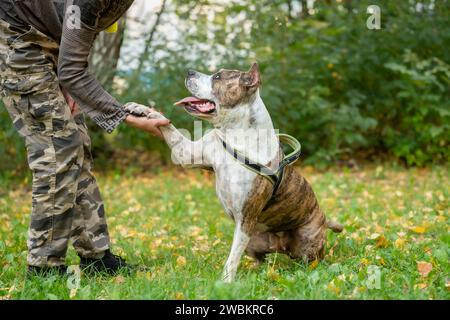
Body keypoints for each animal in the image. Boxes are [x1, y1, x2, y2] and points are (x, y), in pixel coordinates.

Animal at [125, 63, 342, 282]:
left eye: (218, 77)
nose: (189, 71)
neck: (234, 132)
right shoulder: (186, 153)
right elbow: (168, 126)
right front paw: (141, 109)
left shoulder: (245, 217)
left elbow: (232, 258)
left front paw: (225, 283)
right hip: (253, 241)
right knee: (259, 259)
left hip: (303, 241)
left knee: (311, 260)